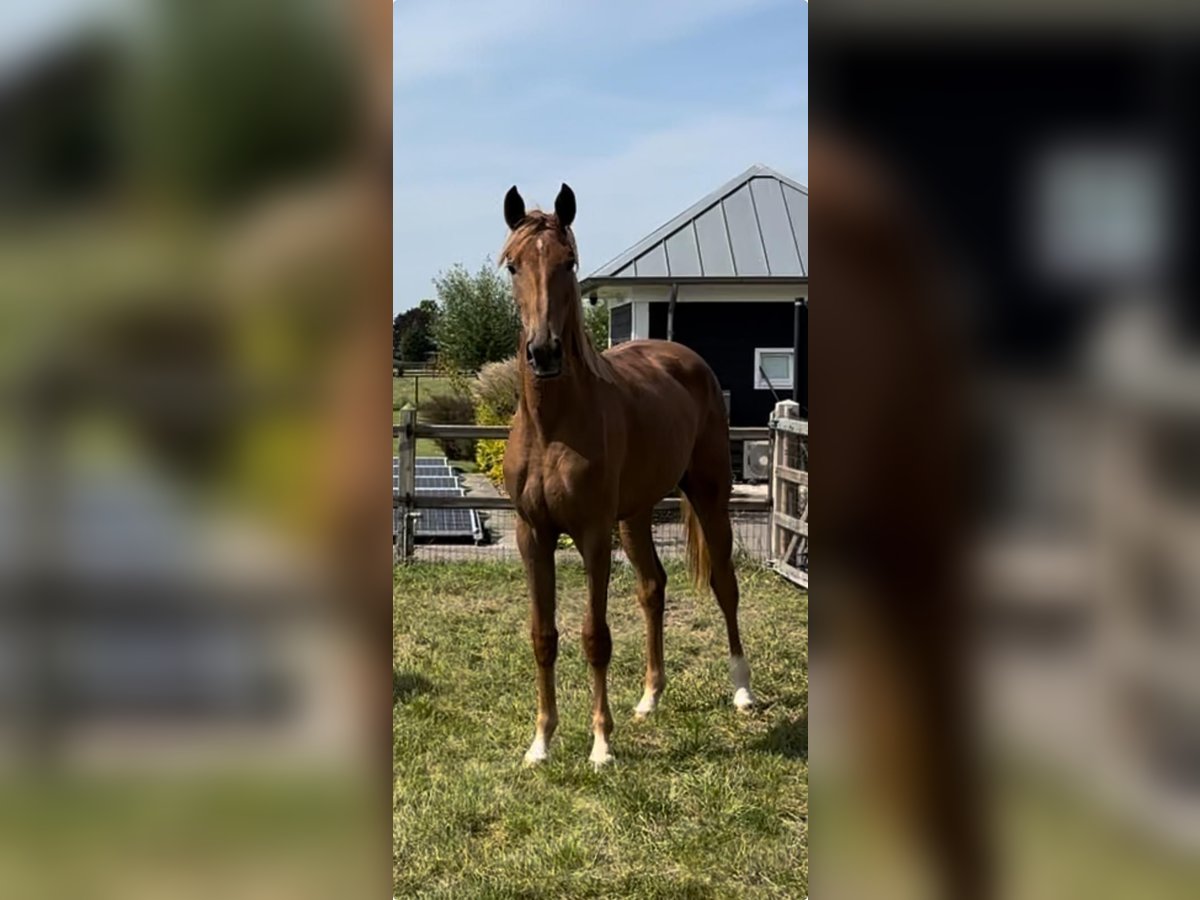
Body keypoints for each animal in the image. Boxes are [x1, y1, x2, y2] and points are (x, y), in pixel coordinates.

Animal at [496, 181, 748, 768]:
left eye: (568, 262)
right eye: (514, 265)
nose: (544, 353)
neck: (553, 427)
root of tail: (688, 359)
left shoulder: (592, 535)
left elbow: (595, 637)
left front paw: (601, 745)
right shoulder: (532, 535)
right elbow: (543, 635)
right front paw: (541, 742)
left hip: (710, 496)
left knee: (725, 584)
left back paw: (742, 689)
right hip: (635, 516)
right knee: (653, 588)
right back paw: (651, 697)